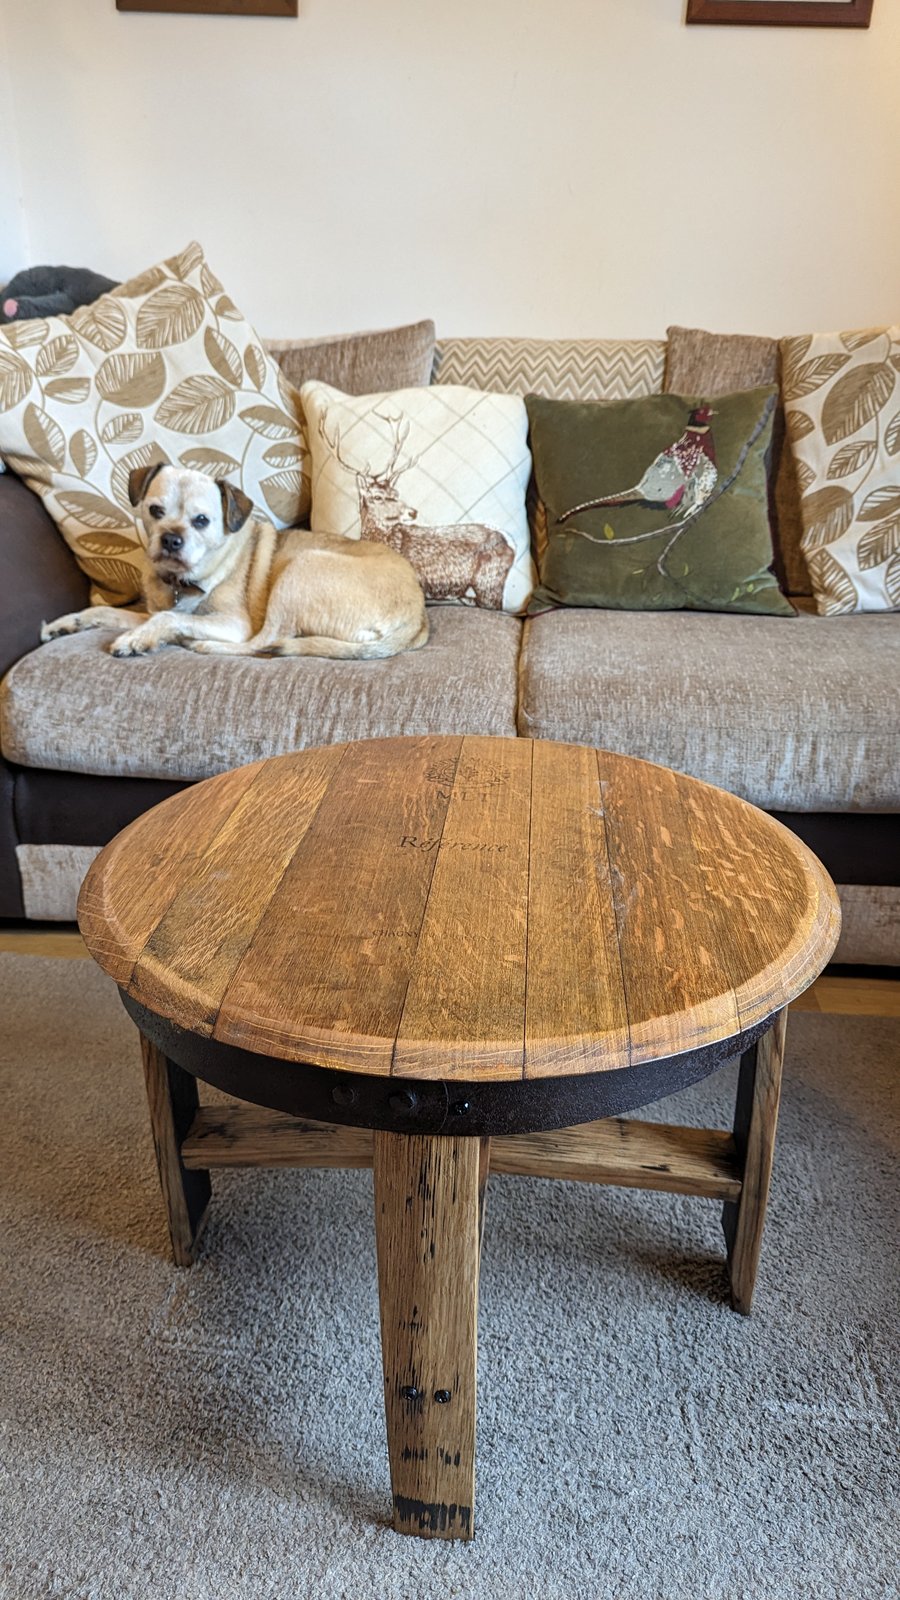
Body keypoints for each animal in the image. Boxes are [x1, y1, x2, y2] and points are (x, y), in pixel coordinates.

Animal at [43, 464, 429, 662]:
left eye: (201, 521)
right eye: (155, 511)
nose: (170, 539)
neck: (184, 581)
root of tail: (417, 616)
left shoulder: (232, 623)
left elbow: (169, 618)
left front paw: (140, 639)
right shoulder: (149, 611)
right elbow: (107, 613)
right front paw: (66, 623)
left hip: (300, 569)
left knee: (265, 641)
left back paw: (199, 643)